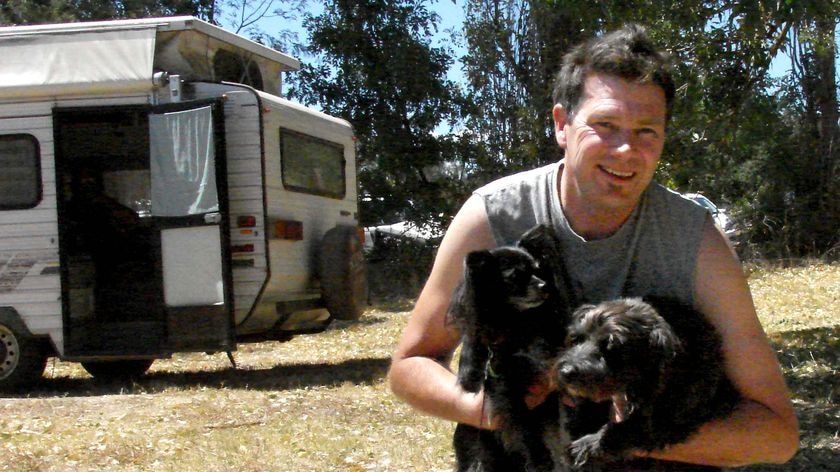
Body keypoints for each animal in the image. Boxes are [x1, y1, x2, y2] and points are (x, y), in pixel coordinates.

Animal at [450, 225, 576, 472]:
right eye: (515, 276)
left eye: (538, 271)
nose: (544, 286)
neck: (519, 324)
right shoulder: (507, 389)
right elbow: (525, 427)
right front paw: (539, 460)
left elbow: (561, 422)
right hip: (480, 451)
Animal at [556, 296, 740, 466]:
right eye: (576, 339)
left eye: (611, 346)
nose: (566, 372)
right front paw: (582, 418)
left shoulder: (663, 423)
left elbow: (624, 429)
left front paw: (583, 447)